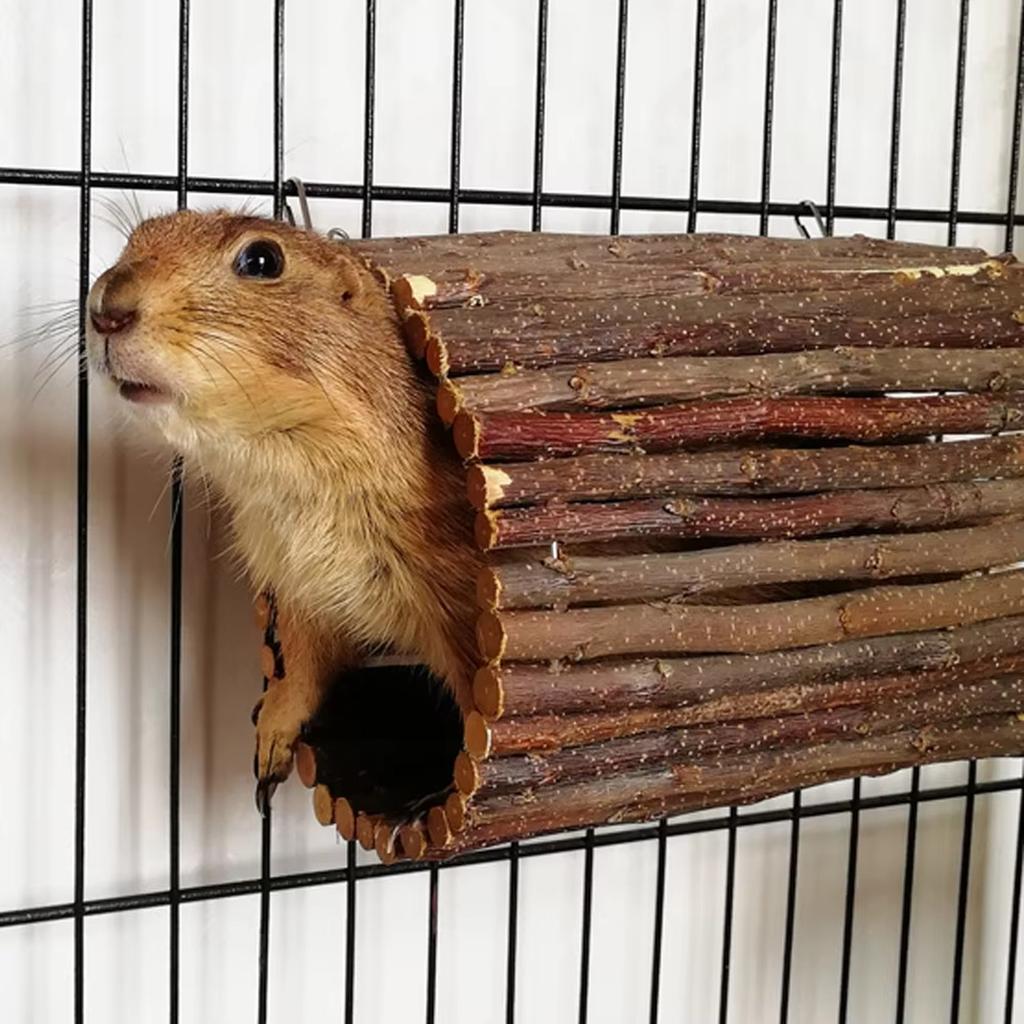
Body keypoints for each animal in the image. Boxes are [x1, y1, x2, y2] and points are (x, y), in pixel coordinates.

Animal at [86, 210, 482, 807]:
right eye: (135, 238)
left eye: (262, 260)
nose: (105, 307)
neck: (286, 475)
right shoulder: (299, 588)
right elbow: (304, 665)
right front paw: (272, 739)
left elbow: (475, 695)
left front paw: (440, 794)